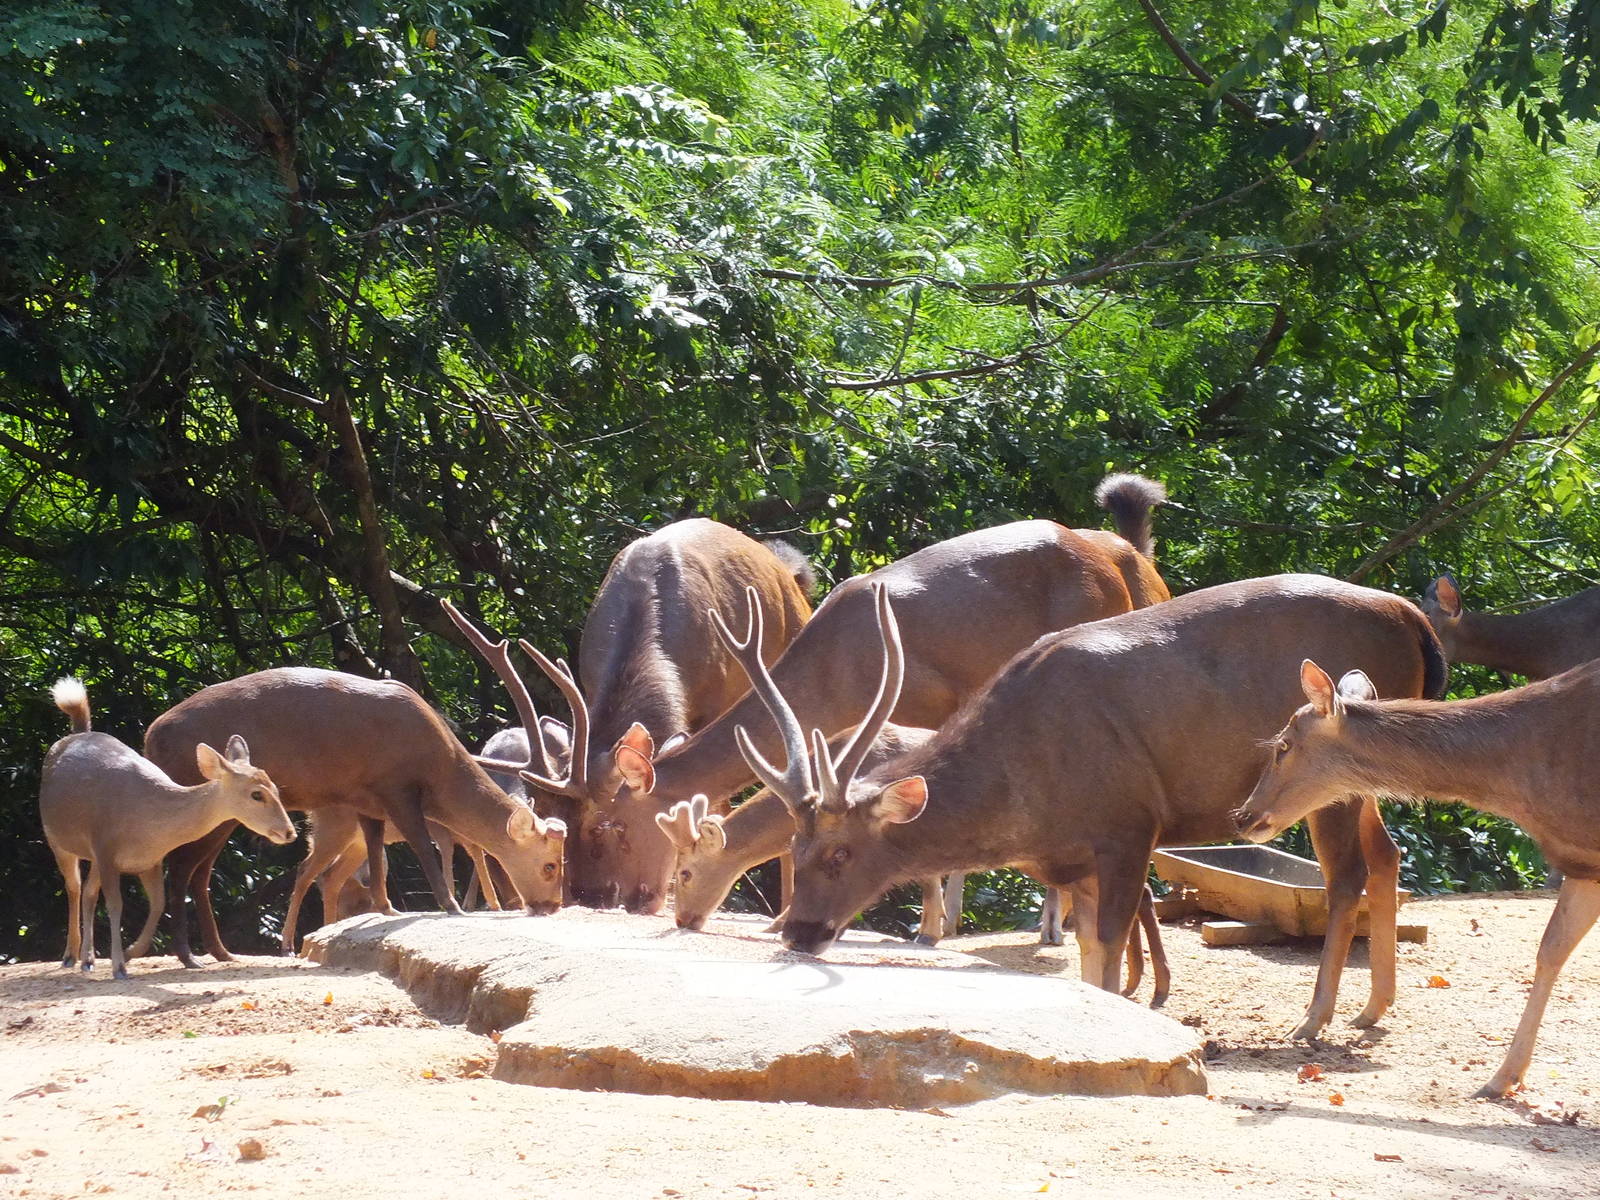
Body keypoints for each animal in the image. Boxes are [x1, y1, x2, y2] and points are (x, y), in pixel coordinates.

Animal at [38, 678, 296, 979]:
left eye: (276, 788)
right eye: (257, 794)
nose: (289, 832)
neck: (148, 823)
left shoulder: (149, 860)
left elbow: (158, 903)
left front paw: (130, 952)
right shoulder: (106, 849)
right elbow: (115, 904)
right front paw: (119, 966)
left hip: (93, 856)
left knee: (89, 892)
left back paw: (88, 959)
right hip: (56, 837)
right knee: (74, 887)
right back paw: (70, 956)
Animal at [129, 667, 567, 968]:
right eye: (549, 865)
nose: (552, 905)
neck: (437, 769)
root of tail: (150, 736)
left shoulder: (366, 799)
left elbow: (376, 853)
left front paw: (387, 908)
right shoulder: (395, 785)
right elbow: (422, 847)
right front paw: (452, 906)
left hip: (225, 816)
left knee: (200, 872)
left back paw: (222, 952)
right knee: (180, 866)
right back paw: (190, 955)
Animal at [524, 475, 1172, 923]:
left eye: (613, 827)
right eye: (554, 821)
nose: (599, 899)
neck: (833, 680)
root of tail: (1118, 560)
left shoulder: (913, 712)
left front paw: (928, 928)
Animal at [732, 574, 1445, 1033]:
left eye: (840, 853)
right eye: (793, 845)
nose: (797, 931)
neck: (1029, 795)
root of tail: (1418, 623)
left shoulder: (1128, 822)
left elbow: (1105, 952)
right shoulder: (1080, 857)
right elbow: (1088, 957)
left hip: (1328, 778)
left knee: (1346, 873)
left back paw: (1314, 1020)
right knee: (1389, 853)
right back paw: (1373, 1009)